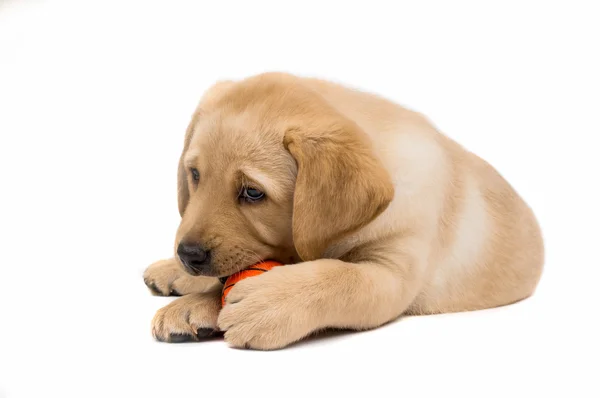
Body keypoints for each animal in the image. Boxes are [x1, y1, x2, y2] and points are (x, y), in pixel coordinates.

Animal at [144, 71, 544, 348]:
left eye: (253, 193)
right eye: (195, 174)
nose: (188, 254)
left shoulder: (391, 273)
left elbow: (339, 276)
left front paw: (267, 303)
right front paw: (195, 301)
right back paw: (170, 272)